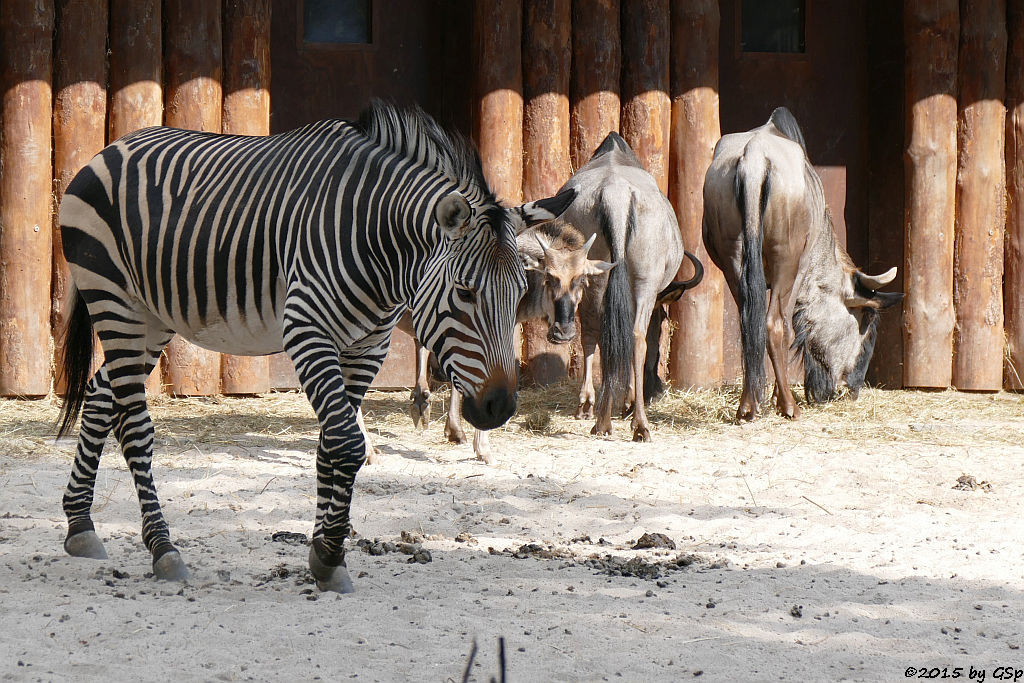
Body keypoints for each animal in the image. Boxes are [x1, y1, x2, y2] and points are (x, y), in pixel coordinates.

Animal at [56, 101, 577, 593]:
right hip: (116, 302)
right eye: (465, 292)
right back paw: (163, 549)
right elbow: (346, 441)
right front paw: (329, 554)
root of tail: (111, 148)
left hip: (151, 316)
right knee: (135, 427)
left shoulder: (369, 345)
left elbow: (333, 441)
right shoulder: (307, 330)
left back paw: (80, 525)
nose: (499, 407)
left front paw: (324, 552)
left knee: (100, 395)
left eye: (519, 291)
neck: (380, 247)